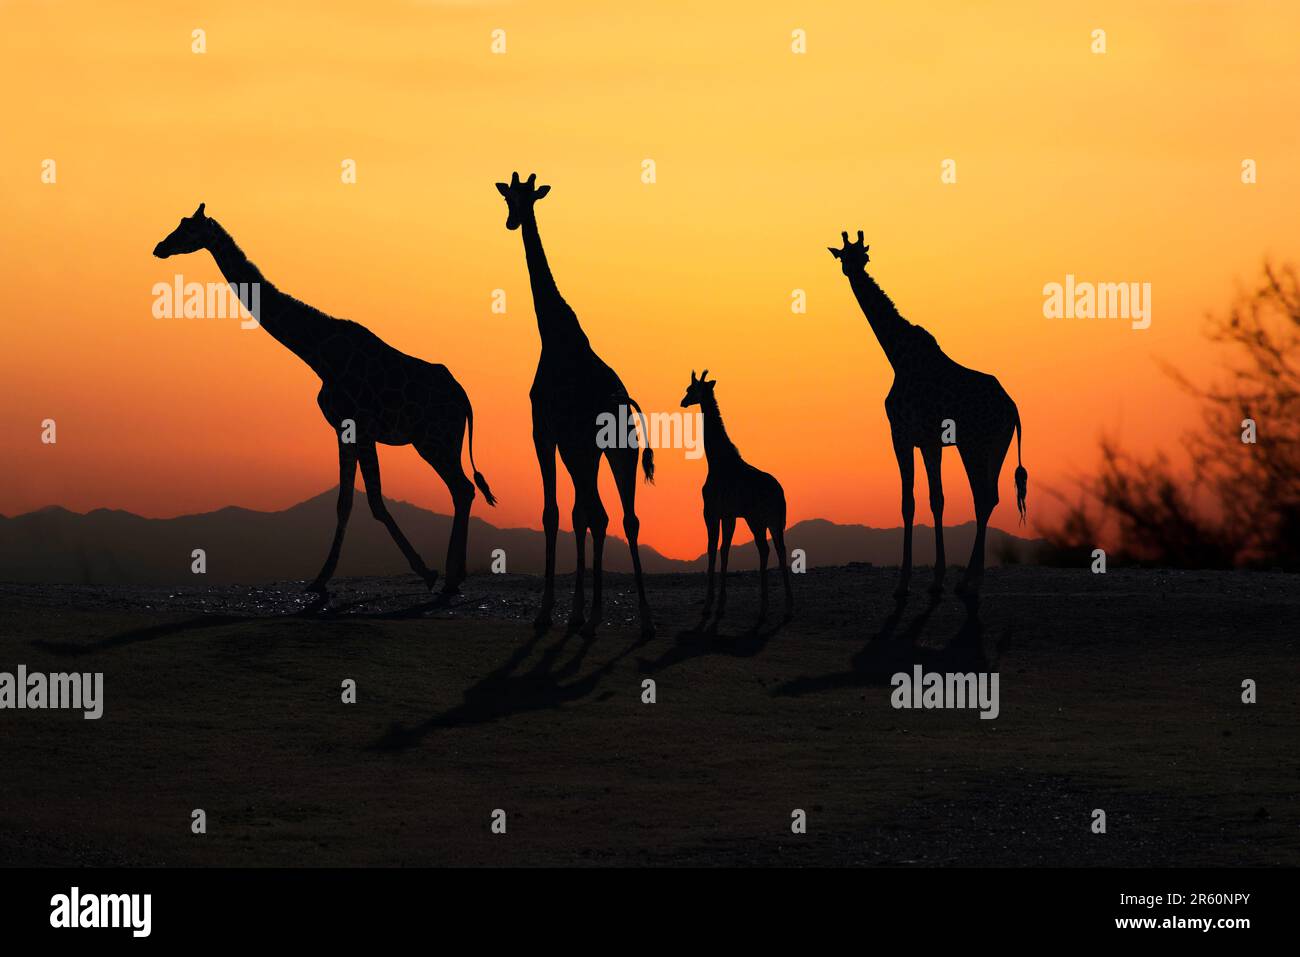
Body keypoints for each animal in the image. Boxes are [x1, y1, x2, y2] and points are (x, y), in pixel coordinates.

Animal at [153, 202, 496, 598]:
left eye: (189, 229)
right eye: (179, 223)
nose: (160, 247)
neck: (319, 355)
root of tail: (465, 399)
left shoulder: (360, 426)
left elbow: (375, 501)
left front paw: (426, 571)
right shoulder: (343, 429)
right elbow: (345, 502)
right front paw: (320, 579)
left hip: (435, 440)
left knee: (463, 488)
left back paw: (452, 577)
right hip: (438, 441)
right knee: (462, 490)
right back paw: (457, 574)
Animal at [493, 174, 655, 634]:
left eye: (525, 197)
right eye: (508, 198)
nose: (511, 221)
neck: (551, 334)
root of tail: (621, 400)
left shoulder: (543, 431)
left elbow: (553, 514)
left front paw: (547, 611)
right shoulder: (574, 445)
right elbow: (577, 514)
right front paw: (572, 610)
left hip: (584, 449)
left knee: (596, 514)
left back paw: (594, 613)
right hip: (617, 450)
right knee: (621, 517)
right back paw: (638, 618)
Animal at [681, 371, 790, 629]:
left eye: (691, 389)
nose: (683, 402)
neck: (715, 461)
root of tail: (779, 493)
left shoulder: (710, 512)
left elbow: (712, 549)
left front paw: (709, 606)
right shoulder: (728, 515)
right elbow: (725, 550)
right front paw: (720, 605)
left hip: (756, 520)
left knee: (765, 549)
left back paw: (763, 610)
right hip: (775, 522)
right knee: (780, 550)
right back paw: (787, 608)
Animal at [832, 231, 1024, 600]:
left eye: (863, 256)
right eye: (846, 257)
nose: (854, 271)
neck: (896, 355)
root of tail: (1013, 409)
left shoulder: (900, 434)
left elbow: (908, 502)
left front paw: (903, 584)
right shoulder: (930, 443)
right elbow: (937, 500)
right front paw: (935, 579)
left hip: (974, 445)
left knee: (983, 497)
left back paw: (969, 582)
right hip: (997, 446)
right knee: (990, 497)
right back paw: (972, 580)